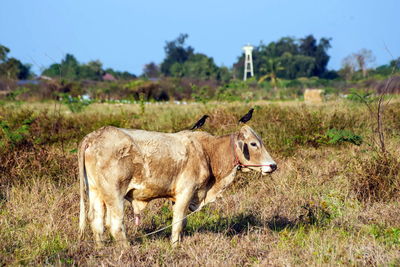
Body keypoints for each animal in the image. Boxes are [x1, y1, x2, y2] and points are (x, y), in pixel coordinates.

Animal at [79, 124, 276, 248]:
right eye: (253, 144)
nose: (273, 165)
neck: (207, 151)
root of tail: (94, 136)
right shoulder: (186, 192)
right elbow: (178, 222)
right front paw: (175, 246)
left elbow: (181, 221)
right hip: (114, 195)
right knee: (115, 225)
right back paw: (127, 250)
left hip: (96, 192)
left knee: (96, 221)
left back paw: (101, 249)